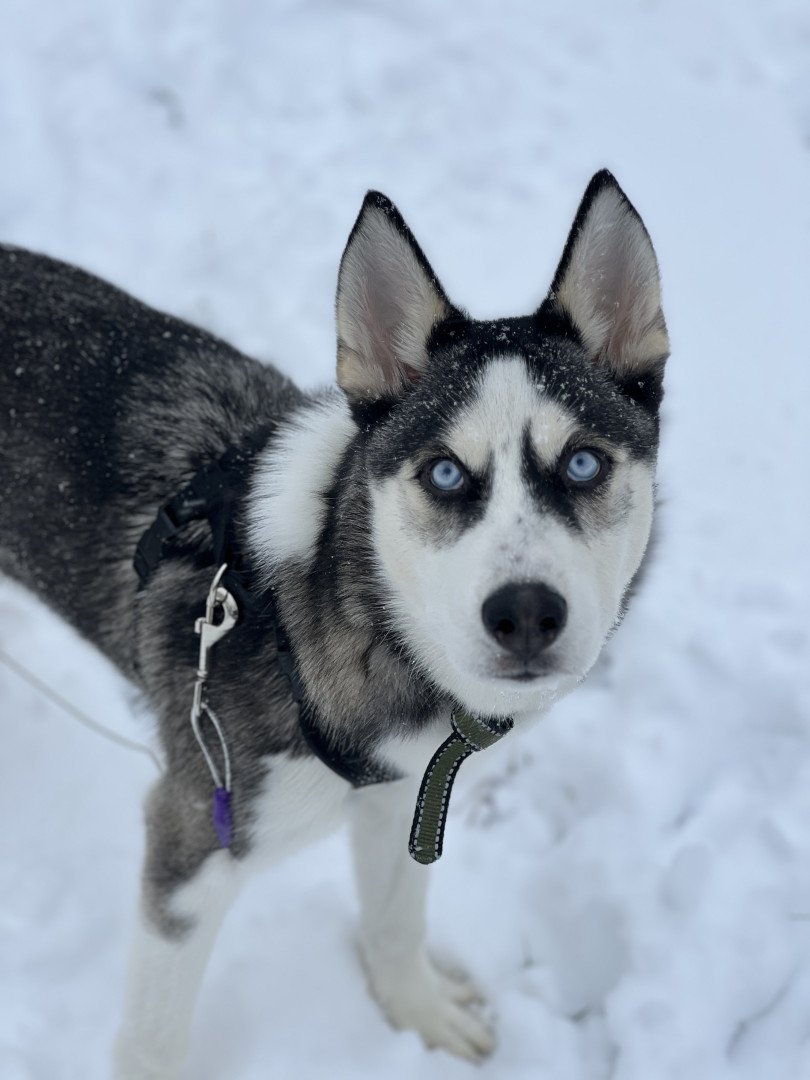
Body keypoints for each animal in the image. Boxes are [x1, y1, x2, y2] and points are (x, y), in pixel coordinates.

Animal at [0, 170, 668, 1077]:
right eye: (445, 473)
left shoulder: (399, 793)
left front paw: (416, 1012)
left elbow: (394, 922)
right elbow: (154, 1038)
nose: (526, 613)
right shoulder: (191, 837)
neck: (327, 613)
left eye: (585, 463)